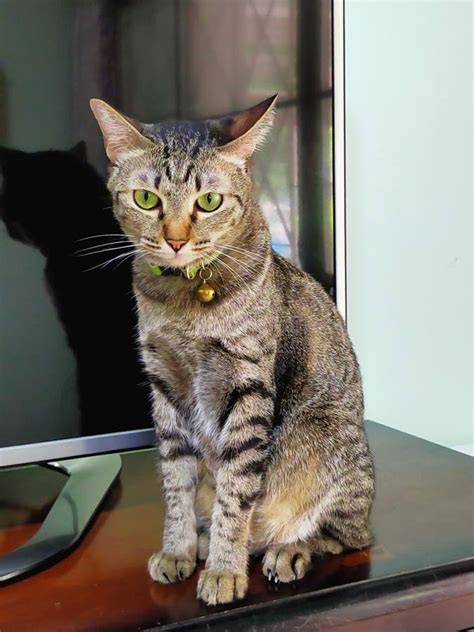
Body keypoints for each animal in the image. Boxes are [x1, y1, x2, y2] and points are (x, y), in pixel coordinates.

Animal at [90, 96, 374, 604]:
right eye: (146, 199)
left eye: (209, 202)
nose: (176, 240)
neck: (183, 299)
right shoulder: (164, 387)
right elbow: (177, 483)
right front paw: (178, 549)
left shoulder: (248, 389)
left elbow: (236, 489)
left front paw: (224, 570)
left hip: (325, 439)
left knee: (345, 536)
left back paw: (285, 550)